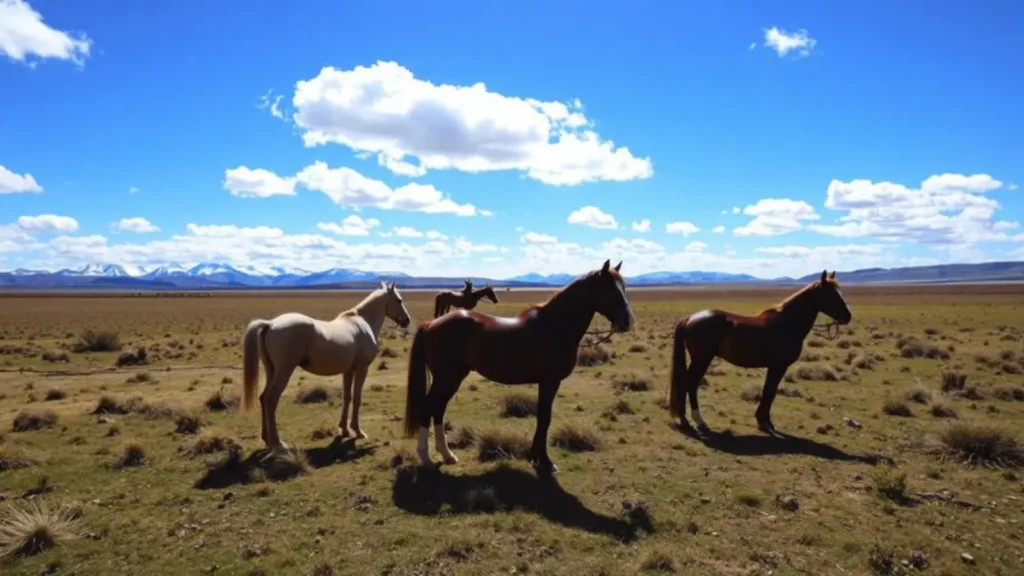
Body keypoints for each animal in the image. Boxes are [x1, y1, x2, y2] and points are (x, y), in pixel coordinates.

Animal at [241, 281, 412, 453]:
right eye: (399, 300)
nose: (407, 320)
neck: (363, 323)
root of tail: (270, 324)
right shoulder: (362, 369)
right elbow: (357, 398)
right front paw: (358, 431)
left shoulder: (348, 371)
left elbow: (347, 397)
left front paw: (344, 429)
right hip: (284, 371)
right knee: (271, 400)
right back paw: (278, 443)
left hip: (271, 370)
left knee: (263, 398)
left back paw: (266, 440)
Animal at [403, 260, 635, 476]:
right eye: (608, 288)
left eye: (623, 287)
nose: (627, 322)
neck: (554, 326)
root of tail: (432, 324)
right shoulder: (549, 382)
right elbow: (545, 418)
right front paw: (545, 462)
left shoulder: (547, 383)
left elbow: (543, 417)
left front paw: (536, 457)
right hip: (446, 378)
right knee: (429, 408)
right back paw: (426, 458)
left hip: (452, 378)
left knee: (438, 409)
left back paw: (447, 455)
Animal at [668, 270, 853, 436]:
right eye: (831, 294)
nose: (847, 316)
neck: (788, 323)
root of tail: (689, 318)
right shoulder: (779, 366)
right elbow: (770, 392)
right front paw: (765, 423)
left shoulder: (774, 366)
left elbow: (768, 392)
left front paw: (763, 421)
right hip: (702, 359)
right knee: (690, 384)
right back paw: (695, 421)